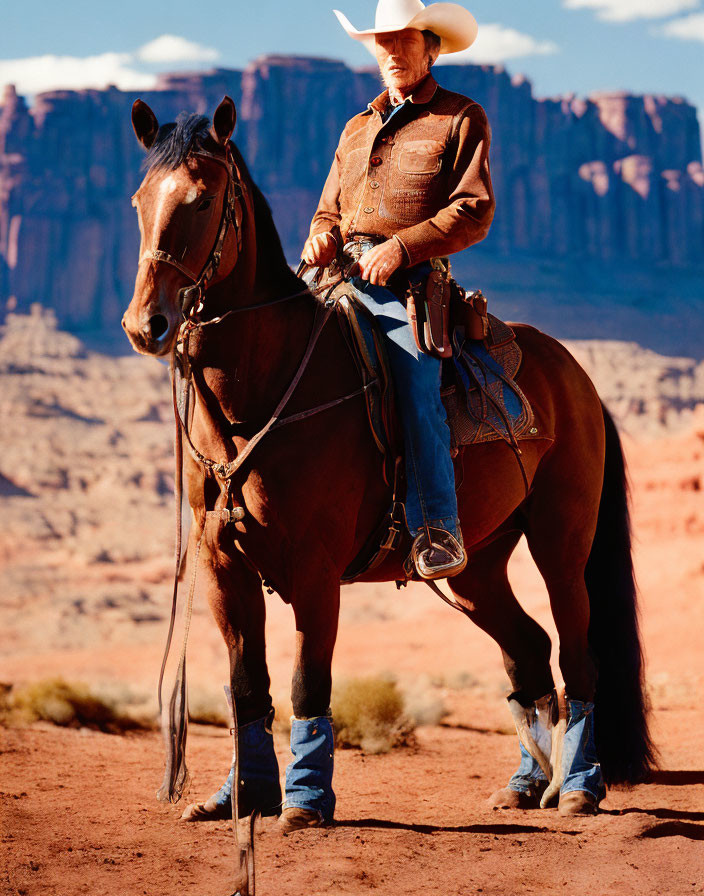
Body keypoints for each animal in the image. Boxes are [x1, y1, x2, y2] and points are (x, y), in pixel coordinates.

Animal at [121, 93, 656, 832]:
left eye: (200, 200)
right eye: (140, 200)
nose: (146, 326)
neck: (264, 390)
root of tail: (576, 379)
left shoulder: (315, 567)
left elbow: (306, 681)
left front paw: (306, 802)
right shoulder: (222, 562)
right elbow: (246, 684)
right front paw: (240, 797)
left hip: (560, 541)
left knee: (578, 651)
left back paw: (577, 787)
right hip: (477, 565)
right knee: (527, 648)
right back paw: (526, 785)